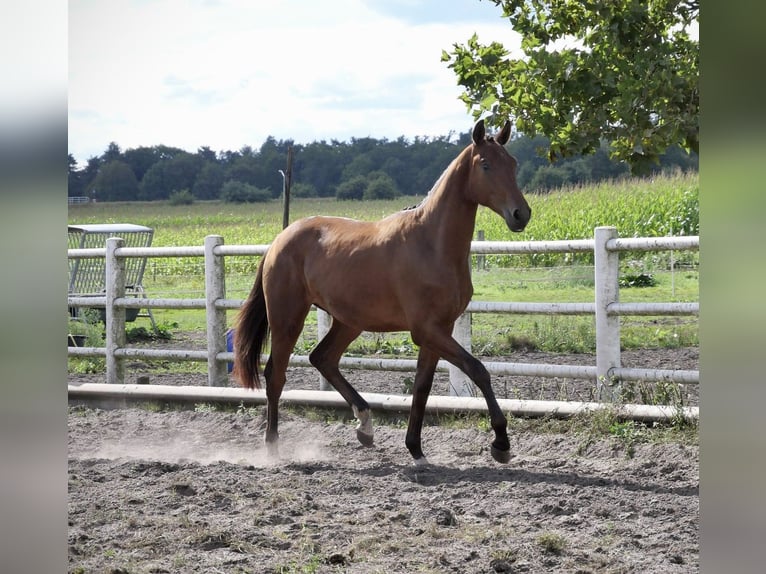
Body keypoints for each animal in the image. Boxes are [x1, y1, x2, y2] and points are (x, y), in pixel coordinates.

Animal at [237, 119, 532, 466]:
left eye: (513, 163)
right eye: (485, 164)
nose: (521, 214)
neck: (431, 244)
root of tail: (279, 241)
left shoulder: (439, 330)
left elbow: (422, 387)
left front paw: (416, 450)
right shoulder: (426, 330)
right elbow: (478, 370)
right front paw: (501, 443)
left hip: (348, 322)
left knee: (322, 358)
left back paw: (365, 426)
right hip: (288, 318)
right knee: (276, 375)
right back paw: (272, 447)